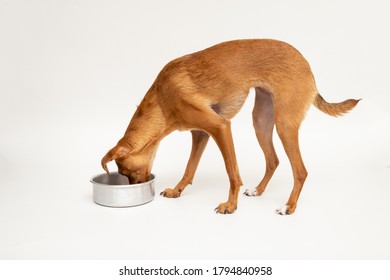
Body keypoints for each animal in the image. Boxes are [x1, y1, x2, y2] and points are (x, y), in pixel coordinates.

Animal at [101, 38, 360, 214]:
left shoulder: (220, 127)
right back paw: (258, 190)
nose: (138, 187)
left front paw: (231, 205)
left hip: (284, 125)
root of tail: (306, 63)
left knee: (300, 171)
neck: (162, 100)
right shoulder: (200, 134)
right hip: (261, 121)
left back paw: (289, 206)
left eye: (125, 172)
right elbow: (189, 169)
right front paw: (177, 190)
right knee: (273, 160)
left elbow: (232, 172)